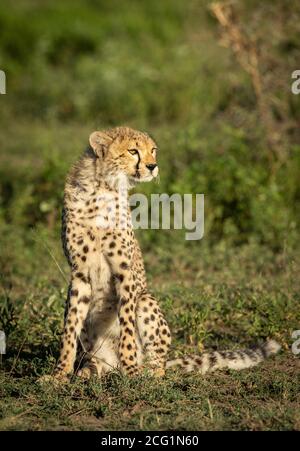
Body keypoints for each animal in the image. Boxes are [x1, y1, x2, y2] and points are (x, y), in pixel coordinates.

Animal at [49, 126, 282, 382]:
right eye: (133, 151)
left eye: (153, 150)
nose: (153, 166)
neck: (103, 187)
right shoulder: (79, 273)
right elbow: (70, 327)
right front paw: (59, 374)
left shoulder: (124, 271)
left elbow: (127, 325)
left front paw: (131, 371)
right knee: (98, 359)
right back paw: (89, 370)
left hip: (146, 301)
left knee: (157, 361)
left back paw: (145, 371)